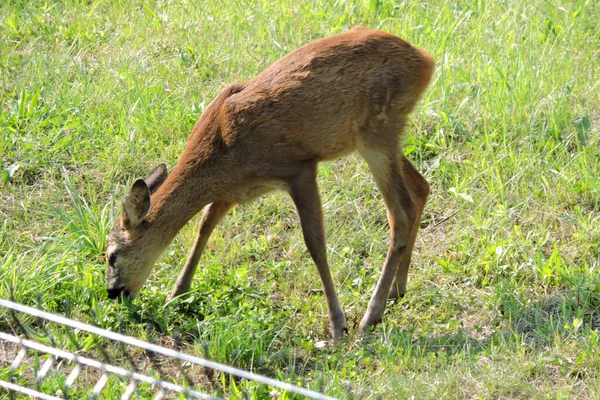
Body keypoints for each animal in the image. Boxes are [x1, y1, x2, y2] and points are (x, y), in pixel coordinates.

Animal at [104, 26, 432, 342]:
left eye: (111, 255)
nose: (113, 293)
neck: (220, 150)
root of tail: (425, 61)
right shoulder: (234, 190)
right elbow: (205, 225)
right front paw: (177, 294)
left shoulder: (298, 168)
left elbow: (315, 243)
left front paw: (337, 325)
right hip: (381, 137)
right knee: (421, 188)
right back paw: (397, 290)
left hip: (377, 131)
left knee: (400, 212)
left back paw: (370, 316)